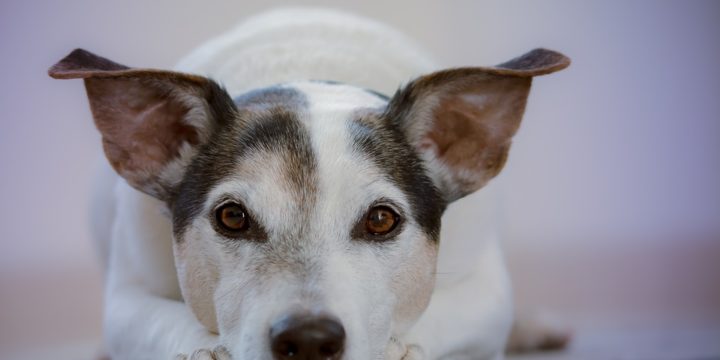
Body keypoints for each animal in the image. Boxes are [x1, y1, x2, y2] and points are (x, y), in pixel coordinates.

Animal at [49, 8, 568, 360]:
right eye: (231, 216)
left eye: (382, 220)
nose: (310, 339)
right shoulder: (127, 298)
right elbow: (160, 323)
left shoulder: (484, 294)